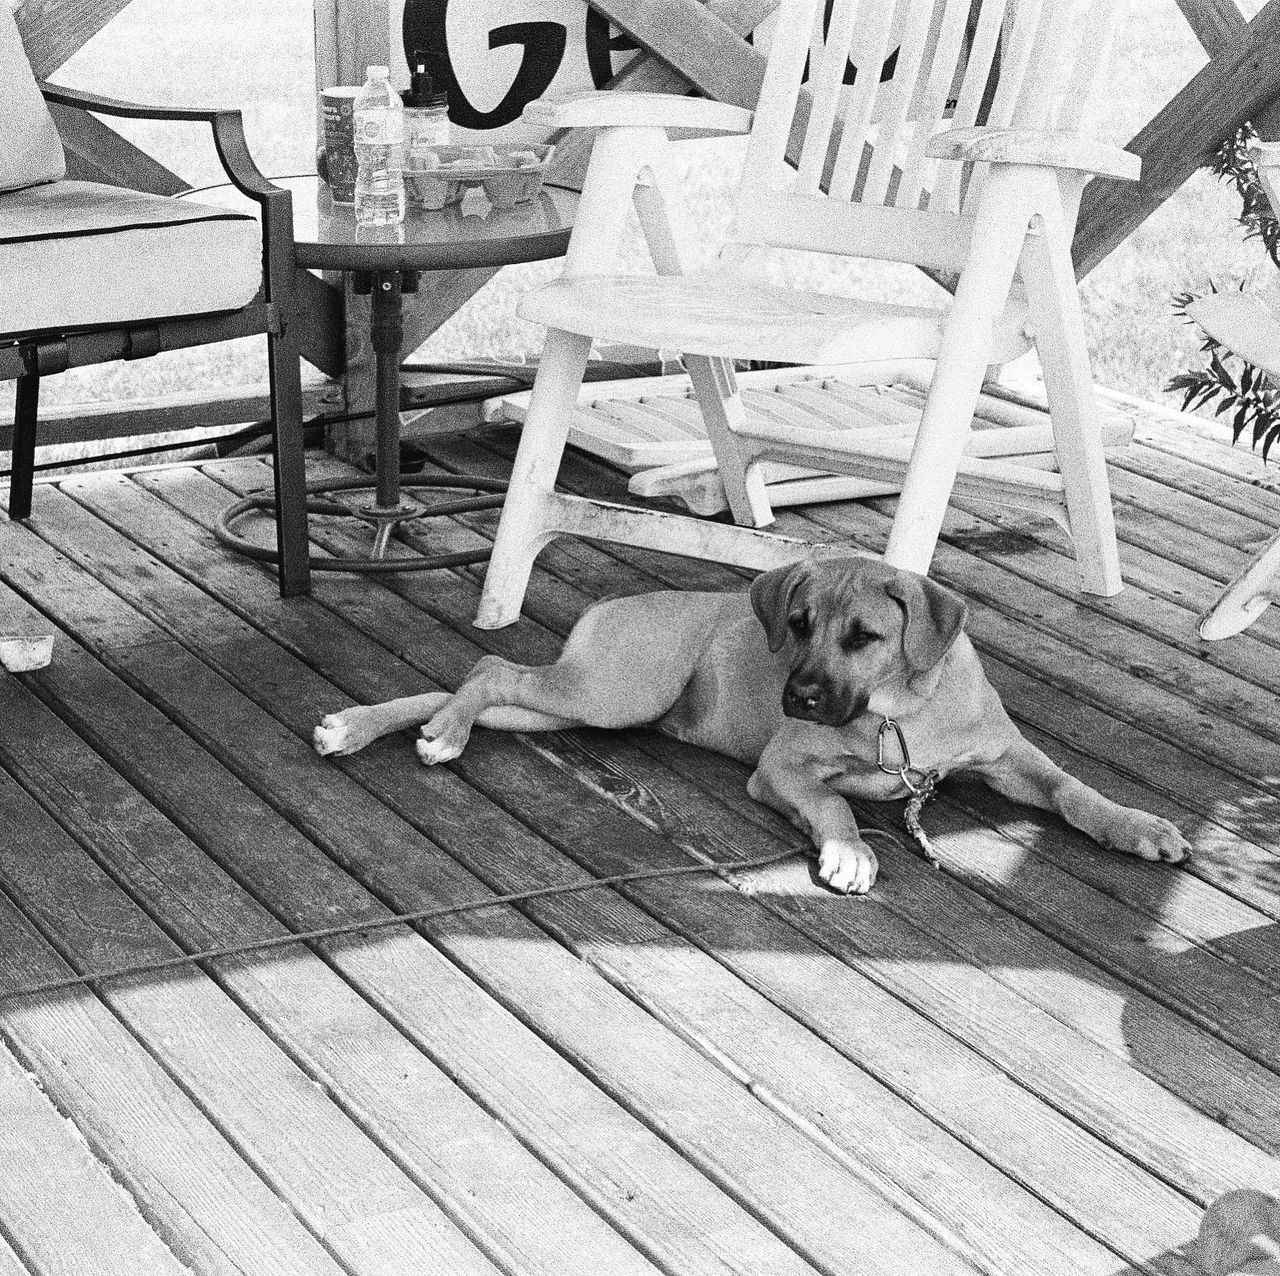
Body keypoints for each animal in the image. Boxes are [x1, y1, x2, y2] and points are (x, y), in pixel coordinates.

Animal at [309, 552, 1187, 890]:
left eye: (864, 638)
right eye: (797, 624)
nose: (798, 697)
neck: (899, 717)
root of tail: (610, 606)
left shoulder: (1009, 757)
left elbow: (1074, 791)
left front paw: (1138, 826)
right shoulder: (783, 771)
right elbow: (833, 803)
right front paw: (849, 853)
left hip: (579, 709)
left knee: (480, 687)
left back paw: (380, 727)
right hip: (616, 690)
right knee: (490, 669)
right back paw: (438, 735)